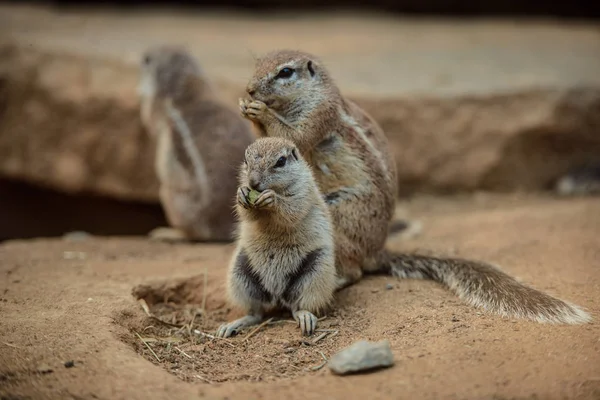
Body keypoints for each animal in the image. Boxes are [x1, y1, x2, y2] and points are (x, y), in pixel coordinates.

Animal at [137, 45, 254, 242]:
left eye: (148, 59)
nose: (143, 55)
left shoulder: (156, 107)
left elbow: (149, 120)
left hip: (170, 196)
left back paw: (168, 233)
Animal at [216, 138, 338, 338]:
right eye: (245, 160)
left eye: (281, 161)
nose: (253, 183)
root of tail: (277, 295)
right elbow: (247, 214)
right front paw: (242, 194)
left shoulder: (303, 191)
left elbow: (292, 210)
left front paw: (272, 199)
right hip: (240, 274)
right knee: (256, 314)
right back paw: (231, 326)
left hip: (316, 271)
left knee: (297, 306)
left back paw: (305, 318)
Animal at [238, 49, 592, 324]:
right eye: (256, 65)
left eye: (285, 72)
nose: (250, 89)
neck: (310, 95)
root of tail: (377, 250)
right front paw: (248, 110)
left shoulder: (320, 115)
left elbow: (297, 138)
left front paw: (259, 111)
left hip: (338, 218)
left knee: (355, 272)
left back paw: (336, 281)